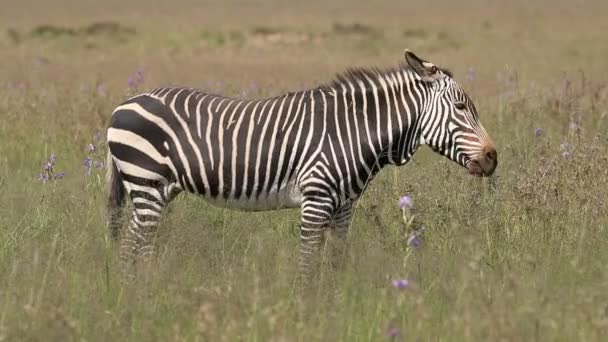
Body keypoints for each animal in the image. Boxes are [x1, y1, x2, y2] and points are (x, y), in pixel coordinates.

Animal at [107, 50, 498, 276]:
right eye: (461, 107)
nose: (493, 158)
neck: (353, 131)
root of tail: (124, 103)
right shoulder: (316, 200)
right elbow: (308, 264)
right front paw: (306, 311)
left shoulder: (344, 206)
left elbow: (335, 261)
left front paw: (332, 306)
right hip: (146, 184)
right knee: (133, 247)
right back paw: (138, 296)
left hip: (157, 191)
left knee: (134, 246)